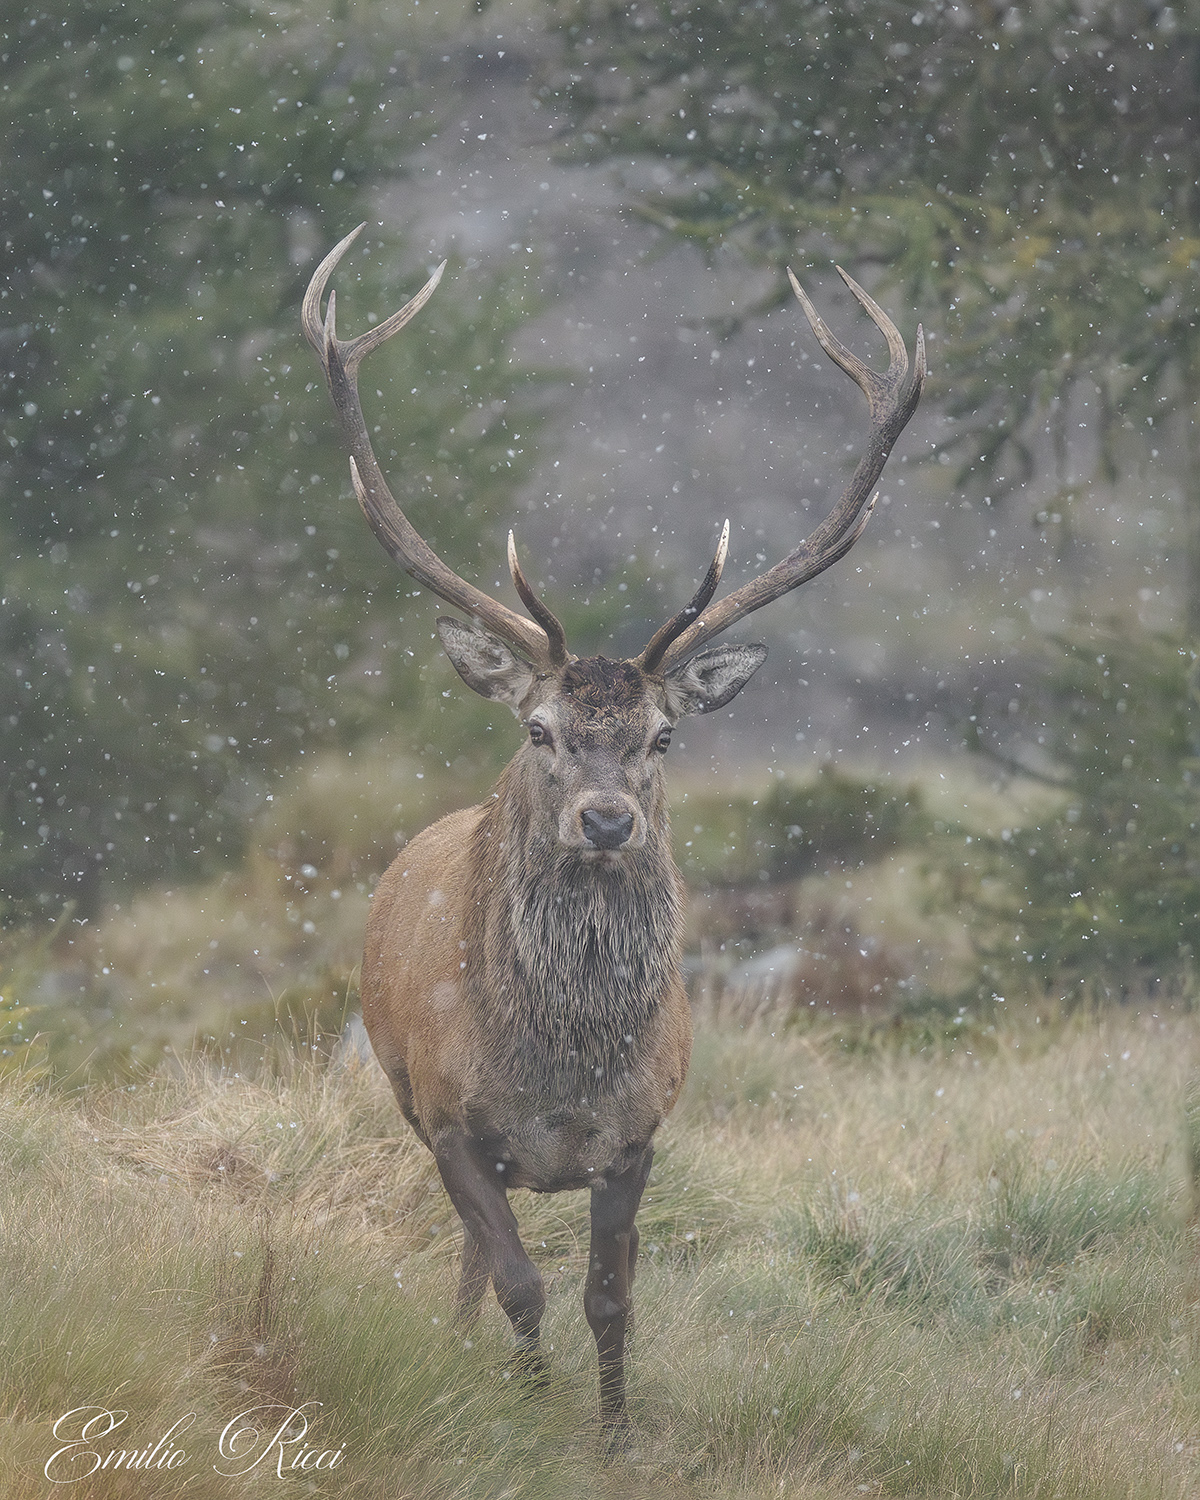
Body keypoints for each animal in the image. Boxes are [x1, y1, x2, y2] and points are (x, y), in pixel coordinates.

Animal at [302, 224, 924, 1428]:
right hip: (399, 1093)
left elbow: (608, 1296)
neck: (560, 1073)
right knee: (470, 1256)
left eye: (663, 736)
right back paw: (460, 1349)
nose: (604, 819)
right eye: (540, 728)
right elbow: (520, 1282)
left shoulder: (640, 1134)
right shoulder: (452, 1120)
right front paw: (527, 1406)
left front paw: (613, 1432)